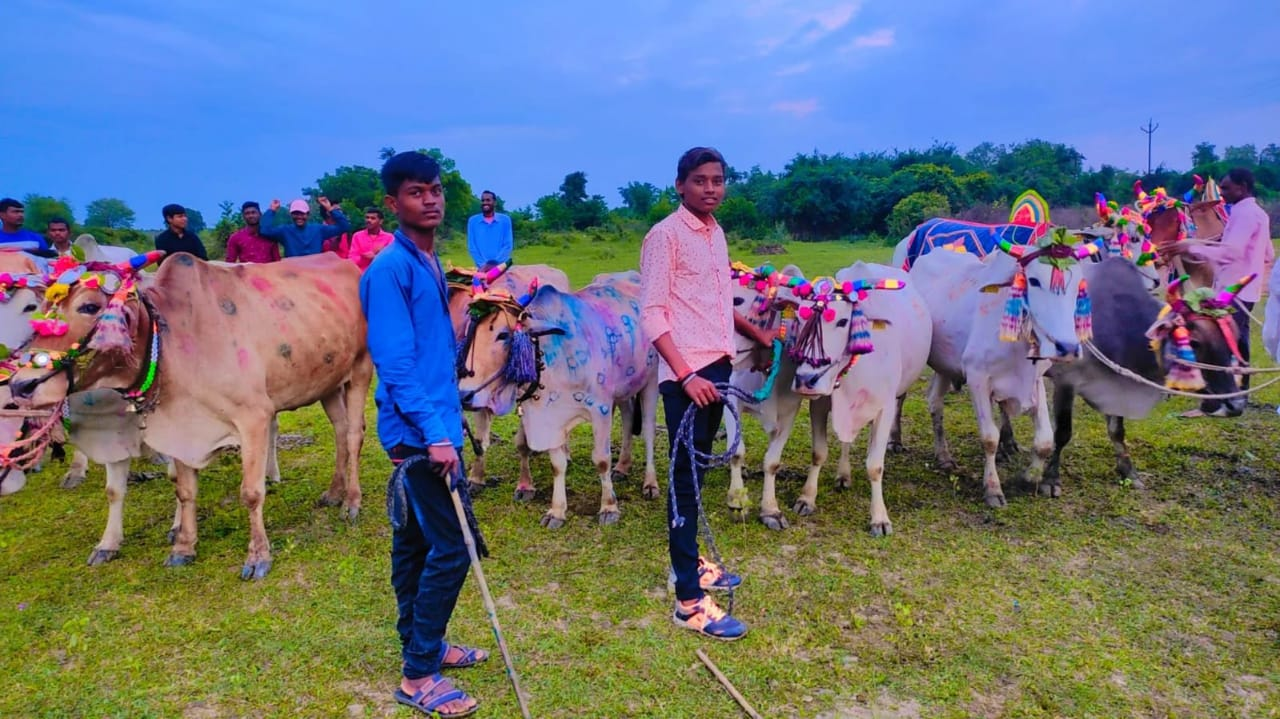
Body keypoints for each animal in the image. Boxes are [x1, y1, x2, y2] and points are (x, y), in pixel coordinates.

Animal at [8, 252, 372, 579]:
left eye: (89, 306)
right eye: (40, 310)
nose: (21, 385)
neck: (169, 344)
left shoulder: (254, 418)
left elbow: (251, 493)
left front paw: (258, 556)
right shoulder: (179, 427)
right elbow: (184, 491)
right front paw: (183, 548)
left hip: (360, 371)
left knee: (354, 435)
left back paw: (352, 502)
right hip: (326, 384)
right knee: (341, 432)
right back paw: (334, 493)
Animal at [455, 270, 658, 528]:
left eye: (503, 335)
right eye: (470, 334)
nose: (465, 394)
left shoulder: (600, 409)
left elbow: (601, 459)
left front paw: (609, 507)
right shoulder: (548, 414)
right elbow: (557, 464)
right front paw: (557, 511)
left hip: (651, 380)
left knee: (649, 431)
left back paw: (650, 483)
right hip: (625, 388)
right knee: (628, 418)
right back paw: (622, 466)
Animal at [782, 262, 931, 535]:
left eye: (843, 321)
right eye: (799, 317)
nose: (806, 379)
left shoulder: (884, 408)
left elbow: (875, 465)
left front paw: (879, 518)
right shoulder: (820, 403)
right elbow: (819, 452)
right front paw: (807, 498)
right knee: (845, 441)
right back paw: (843, 475)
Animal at [911, 229, 1096, 506]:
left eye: (1078, 286)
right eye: (1034, 280)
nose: (1068, 347)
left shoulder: (1035, 380)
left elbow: (1045, 439)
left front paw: (1029, 478)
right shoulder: (977, 378)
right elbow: (989, 437)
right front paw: (993, 489)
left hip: (945, 366)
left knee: (935, 402)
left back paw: (943, 457)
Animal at [1043, 261, 1250, 491]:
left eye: (1234, 339)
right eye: (1193, 342)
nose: (1236, 406)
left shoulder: (1117, 387)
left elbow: (1117, 431)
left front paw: (1129, 472)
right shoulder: (1065, 381)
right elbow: (1063, 432)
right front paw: (1050, 479)